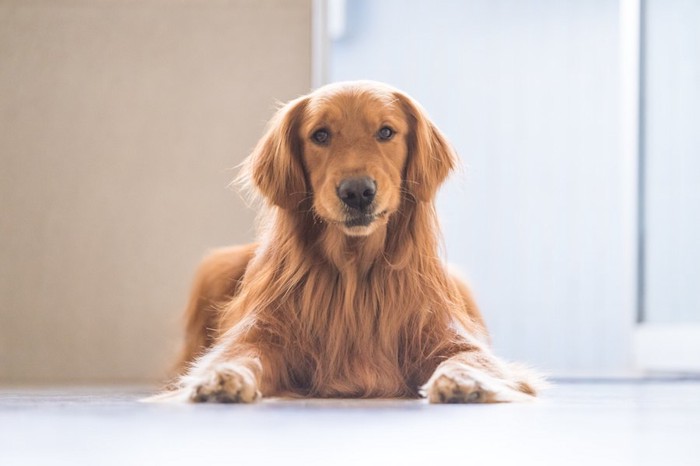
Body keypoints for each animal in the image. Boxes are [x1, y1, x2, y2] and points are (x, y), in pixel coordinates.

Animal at [150, 81, 544, 404]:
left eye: (386, 131)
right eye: (320, 135)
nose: (357, 192)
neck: (353, 270)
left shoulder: (447, 336)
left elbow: (469, 358)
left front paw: (464, 381)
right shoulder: (262, 333)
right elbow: (240, 354)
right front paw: (222, 377)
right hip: (215, 266)